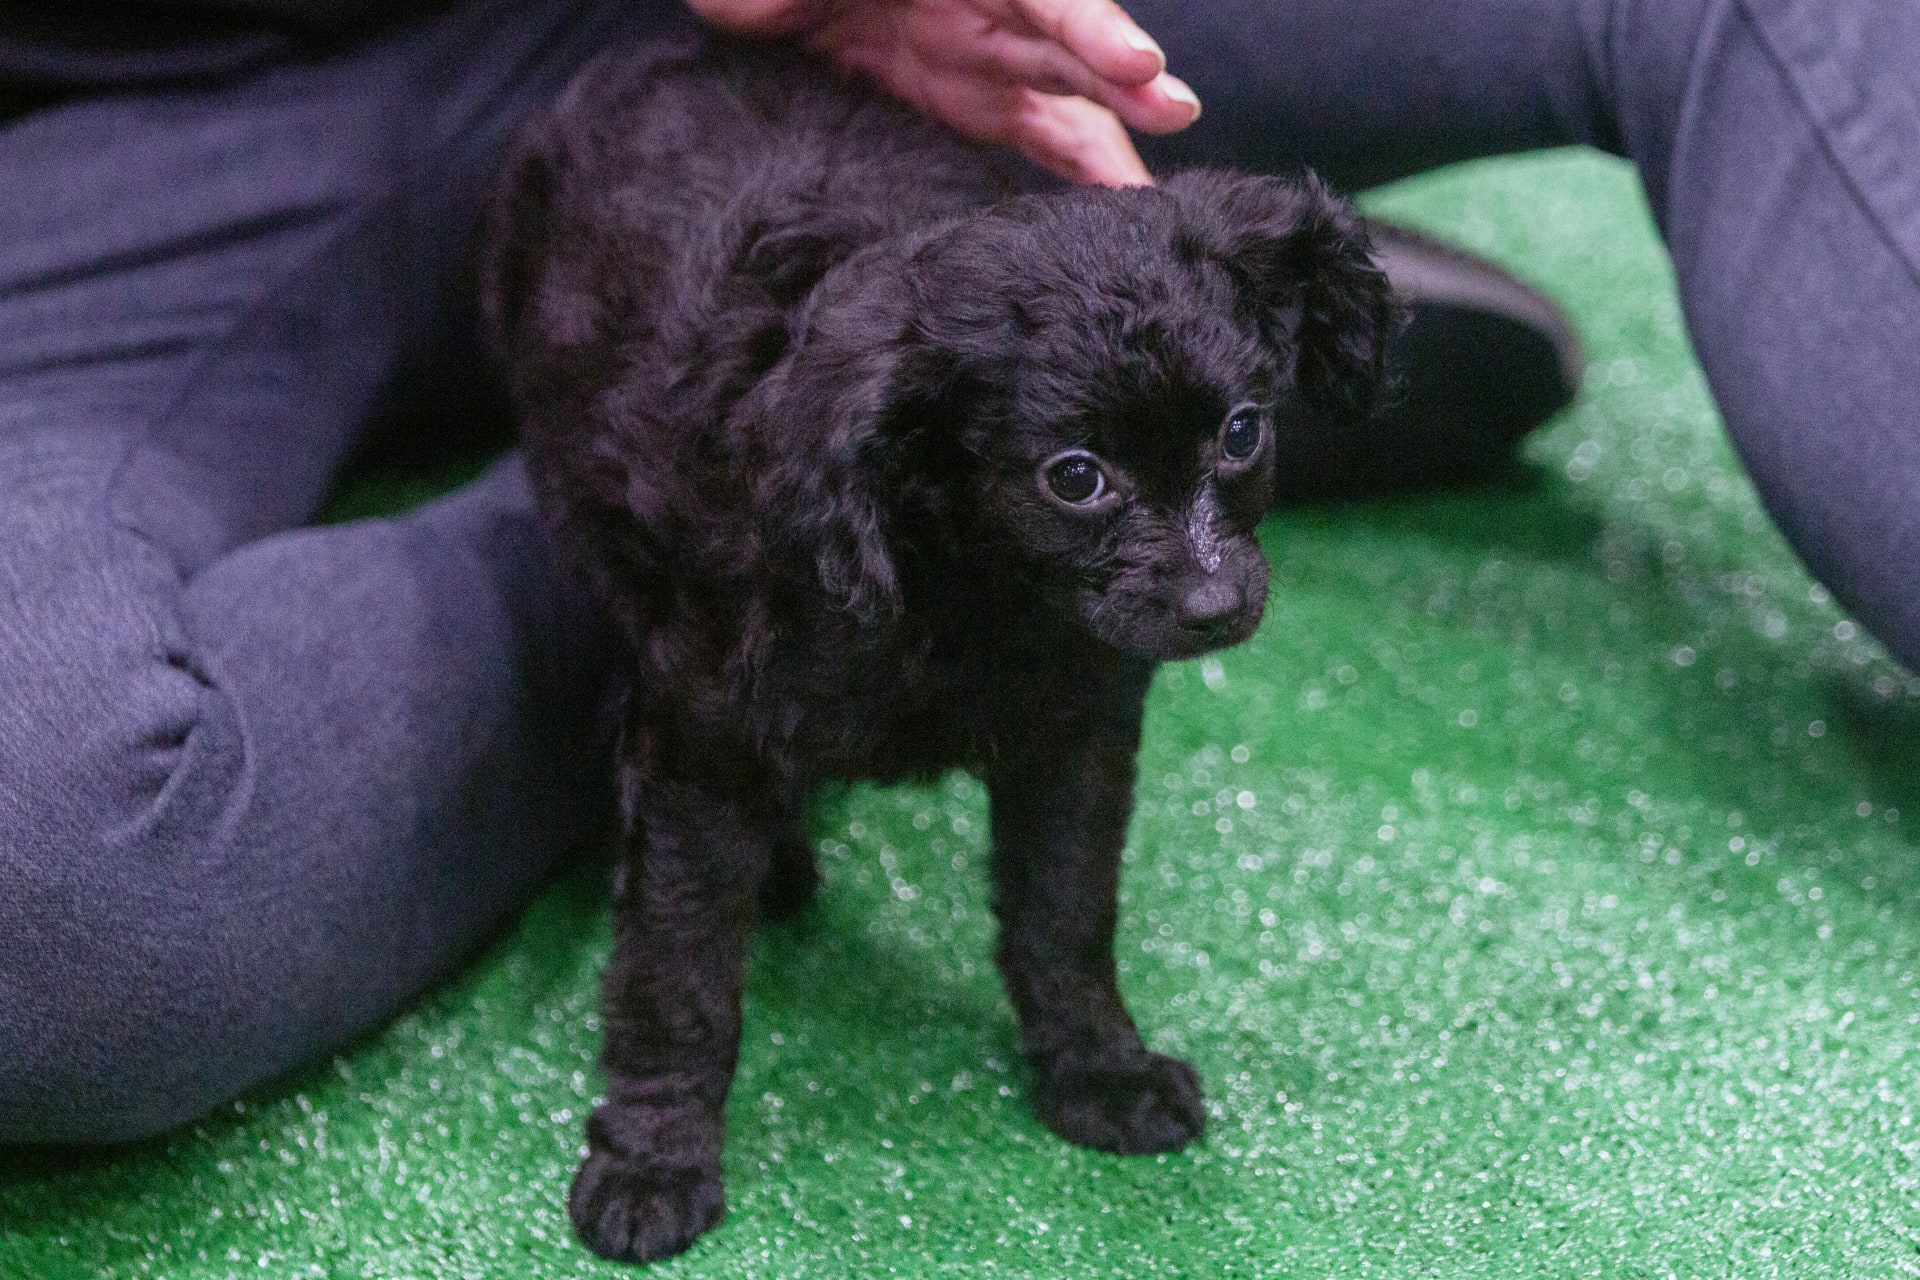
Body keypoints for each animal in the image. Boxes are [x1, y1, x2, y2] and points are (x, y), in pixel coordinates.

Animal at [480, 25, 1397, 1266]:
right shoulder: (702, 744)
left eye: (1243, 430)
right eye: (1075, 477)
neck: (969, 589)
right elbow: (677, 969)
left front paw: (1098, 1071)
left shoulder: (1079, 731)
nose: (1215, 603)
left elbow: (1065, 912)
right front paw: (653, 1155)